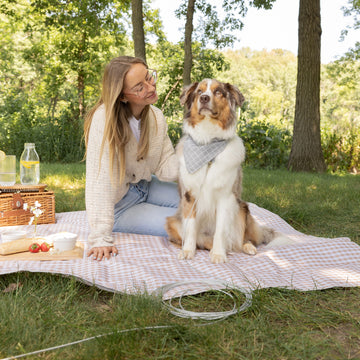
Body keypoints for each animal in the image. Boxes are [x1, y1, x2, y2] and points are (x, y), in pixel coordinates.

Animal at [165, 79, 290, 264]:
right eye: (199, 91)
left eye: (218, 92)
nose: (204, 98)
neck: (208, 141)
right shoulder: (189, 197)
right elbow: (191, 228)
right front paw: (188, 251)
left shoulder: (226, 198)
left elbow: (221, 231)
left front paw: (218, 254)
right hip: (172, 221)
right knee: (202, 239)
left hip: (242, 209)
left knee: (241, 239)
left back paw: (246, 247)